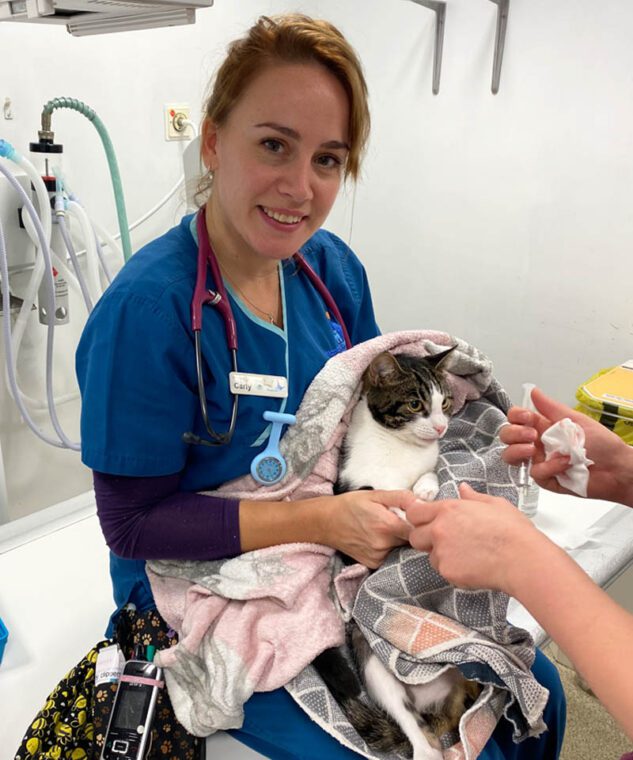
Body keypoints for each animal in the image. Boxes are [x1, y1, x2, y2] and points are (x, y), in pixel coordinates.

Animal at [312, 348, 478, 760]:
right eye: (416, 404)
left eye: (445, 402)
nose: (441, 428)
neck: (399, 448)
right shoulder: (348, 489)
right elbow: (379, 503)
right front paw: (405, 512)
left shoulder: (429, 461)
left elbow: (430, 474)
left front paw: (426, 491)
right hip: (375, 667)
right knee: (411, 727)